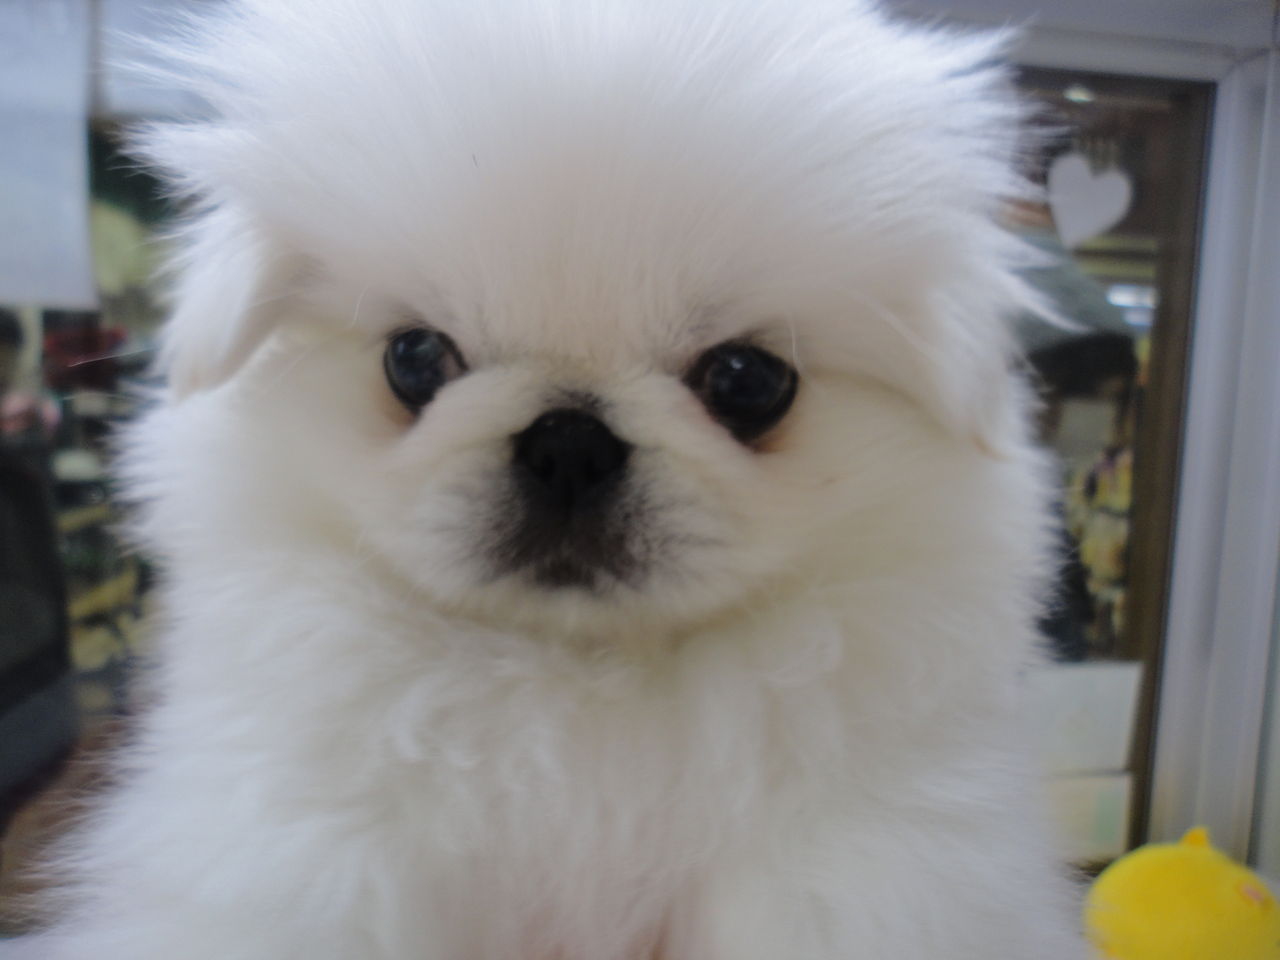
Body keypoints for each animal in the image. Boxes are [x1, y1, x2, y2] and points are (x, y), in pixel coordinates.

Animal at [8, 0, 1086, 957]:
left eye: (747, 381)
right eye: (414, 359)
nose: (569, 440)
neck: (575, 683)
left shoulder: (857, 876)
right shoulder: (312, 853)